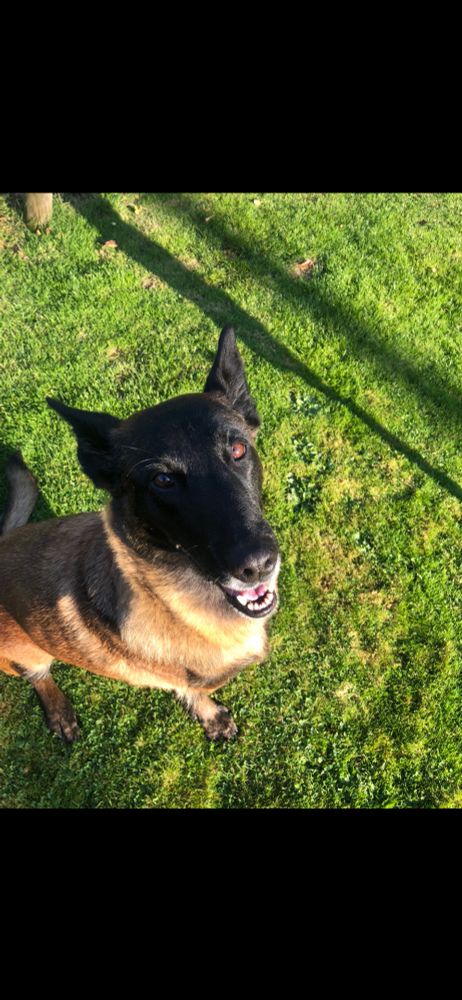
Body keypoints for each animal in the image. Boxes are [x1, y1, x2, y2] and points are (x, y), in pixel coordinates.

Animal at [0, 326, 280, 742]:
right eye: (162, 480)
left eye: (237, 449)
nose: (258, 564)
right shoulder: (180, 679)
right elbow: (190, 690)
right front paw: (208, 714)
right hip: (24, 654)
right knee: (39, 677)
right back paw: (59, 711)